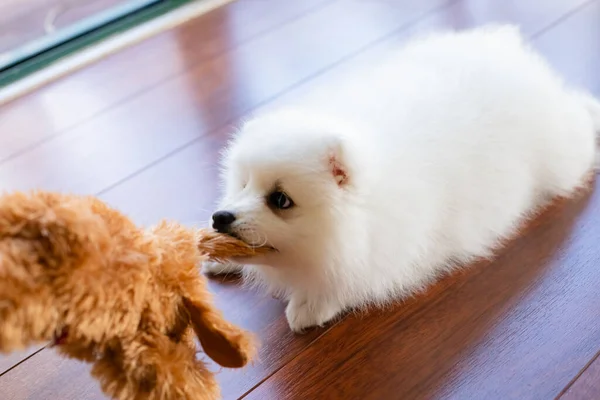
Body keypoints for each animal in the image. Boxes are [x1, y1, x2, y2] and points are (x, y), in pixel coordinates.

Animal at [204, 23, 596, 332]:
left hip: (562, 154)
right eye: (242, 184)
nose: (220, 217)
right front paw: (220, 257)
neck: (365, 210)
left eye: (280, 200)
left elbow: (349, 278)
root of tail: (513, 56)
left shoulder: (385, 248)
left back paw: (591, 109)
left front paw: (311, 304)